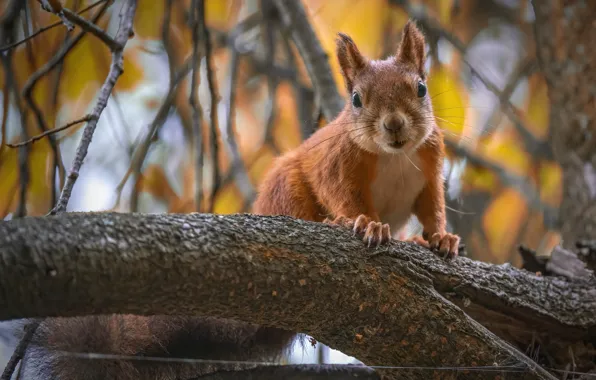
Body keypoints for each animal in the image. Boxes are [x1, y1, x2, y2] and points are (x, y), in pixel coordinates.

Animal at [253, 21, 460, 258]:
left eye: (421, 88)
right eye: (356, 99)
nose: (394, 124)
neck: (394, 156)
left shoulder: (430, 166)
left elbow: (433, 207)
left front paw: (441, 237)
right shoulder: (336, 165)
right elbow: (347, 198)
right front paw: (371, 225)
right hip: (283, 188)